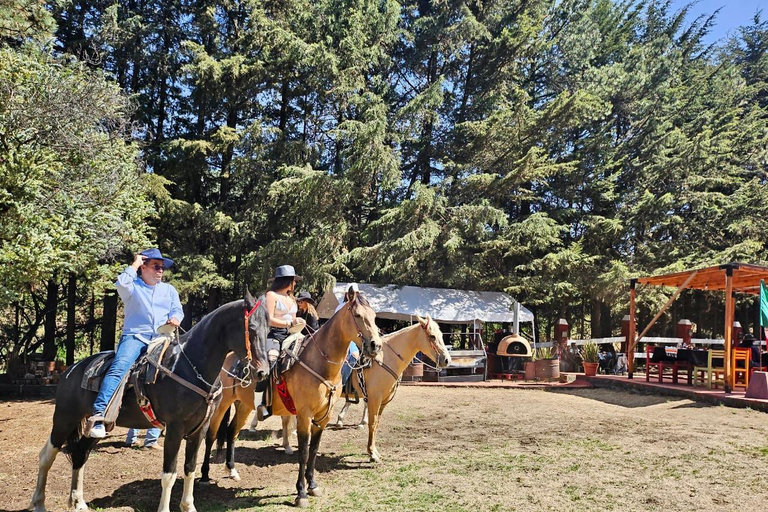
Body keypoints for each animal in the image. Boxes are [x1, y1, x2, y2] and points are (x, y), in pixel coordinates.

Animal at [29, 292, 270, 512]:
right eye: (252, 329)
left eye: (268, 330)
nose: (262, 372)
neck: (189, 367)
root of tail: (70, 371)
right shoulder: (174, 428)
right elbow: (169, 474)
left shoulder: (198, 430)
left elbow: (189, 468)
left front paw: (188, 506)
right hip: (64, 419)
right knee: (46, 455)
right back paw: (38, 503)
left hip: (95, 426)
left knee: (80, 455)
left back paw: (79, 503)